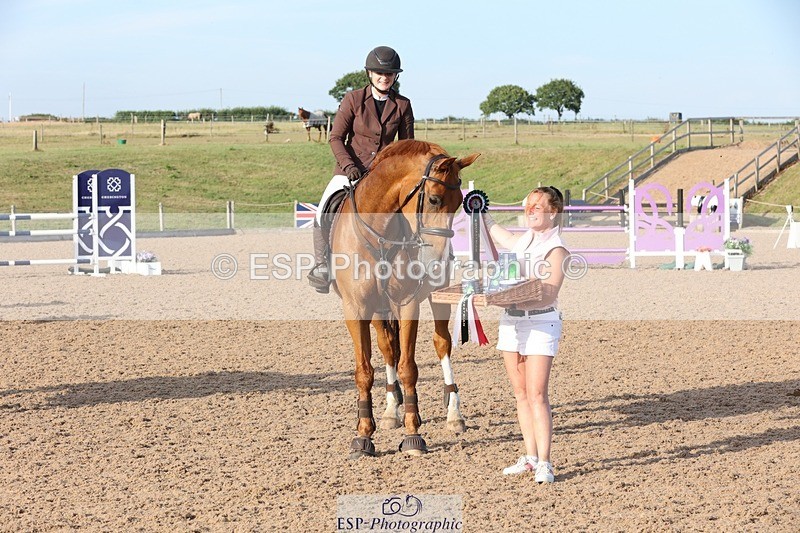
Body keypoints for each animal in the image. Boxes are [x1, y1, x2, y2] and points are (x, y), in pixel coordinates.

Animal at [327, 139, 480, 458]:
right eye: (433, 200)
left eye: (460, 203)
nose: (436, 261)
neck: (381, 233)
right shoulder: (356, 308)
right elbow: (365, 370)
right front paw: (363, 436)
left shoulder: (407, 303)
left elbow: (409, 368)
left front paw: (413, 435)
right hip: (378, 310)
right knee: (388, 348)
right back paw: (390, 411)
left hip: (436, 297)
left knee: (441, 343)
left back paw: (454, 415)